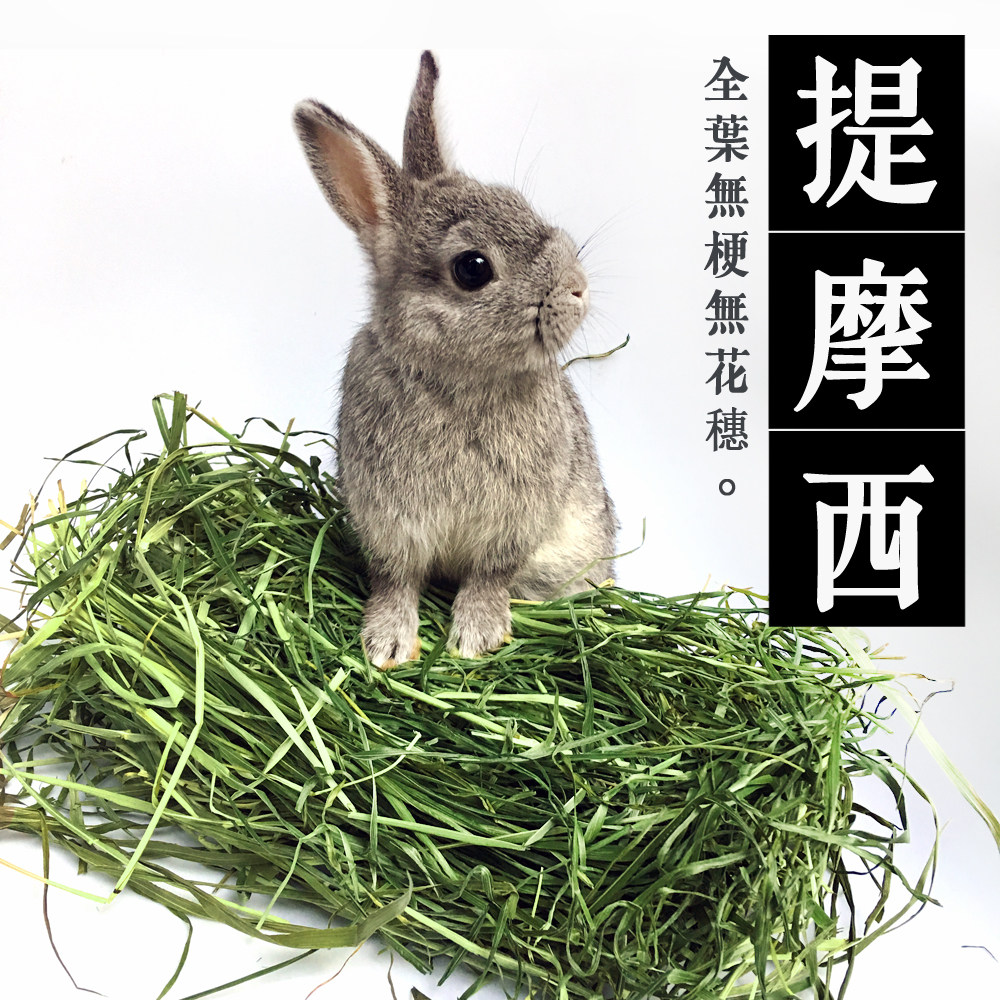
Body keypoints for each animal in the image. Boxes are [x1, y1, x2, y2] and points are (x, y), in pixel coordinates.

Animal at [294, 50, 617, 668]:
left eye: (519, 203)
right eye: (473, 267)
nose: (578, 288)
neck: (459, 378)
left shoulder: (514, 524)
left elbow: (489, 576)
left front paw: (476, 639)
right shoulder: (389, 520)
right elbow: (395, 579)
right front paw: (388, 645)